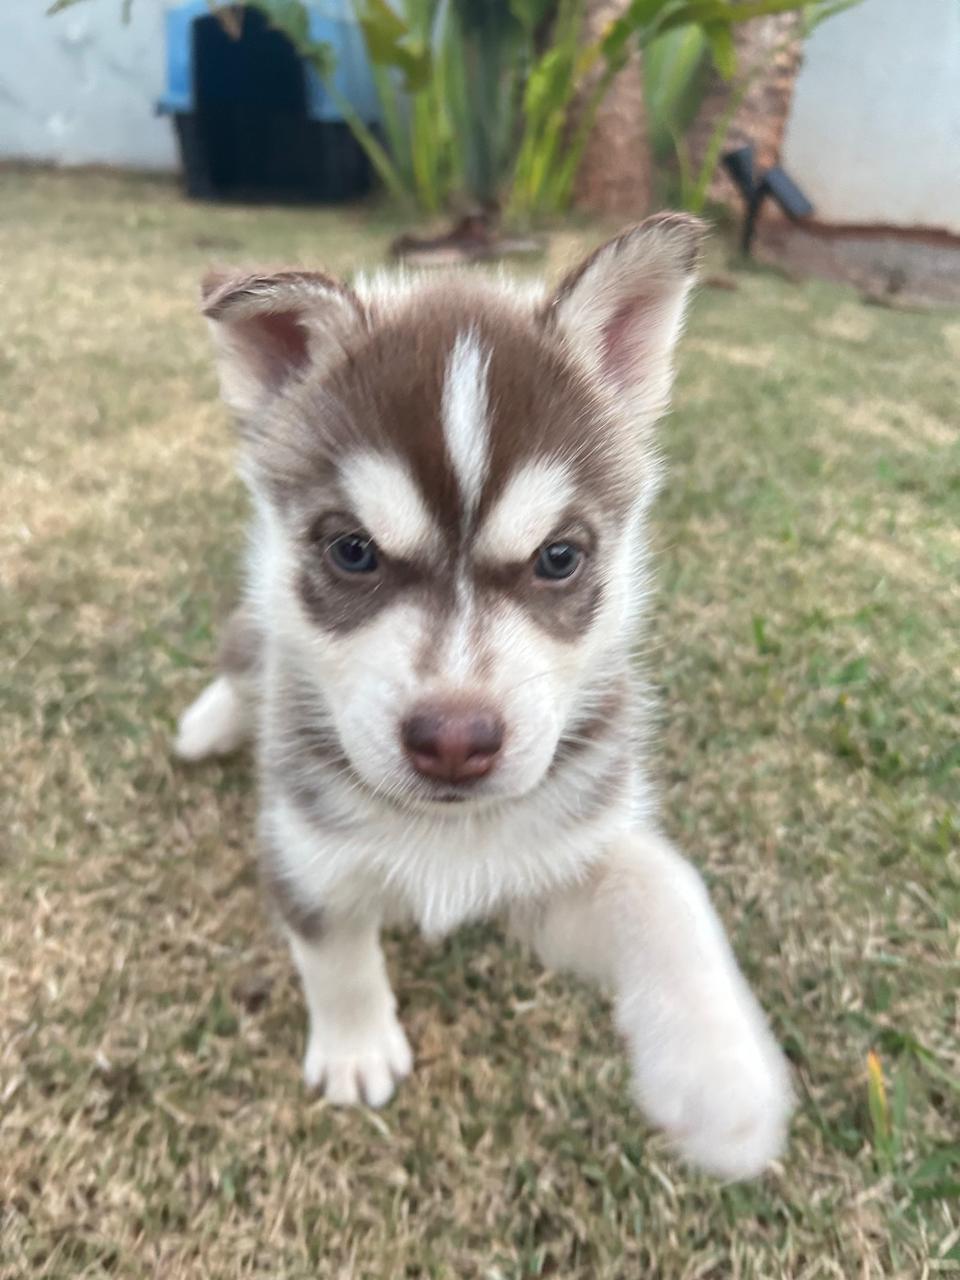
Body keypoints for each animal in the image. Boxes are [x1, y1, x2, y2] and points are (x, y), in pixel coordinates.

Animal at [176, 212, 793, 1177]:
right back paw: (208, 722)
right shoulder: (304, 852)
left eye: (559, 558)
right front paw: (356, 1048)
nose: (455, 741)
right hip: (253, 635)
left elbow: (667, 888)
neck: (446, 835)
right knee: (245, 656)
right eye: (352, 550)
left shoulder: (556, 866)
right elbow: (334, 954)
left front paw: (722, 1081)